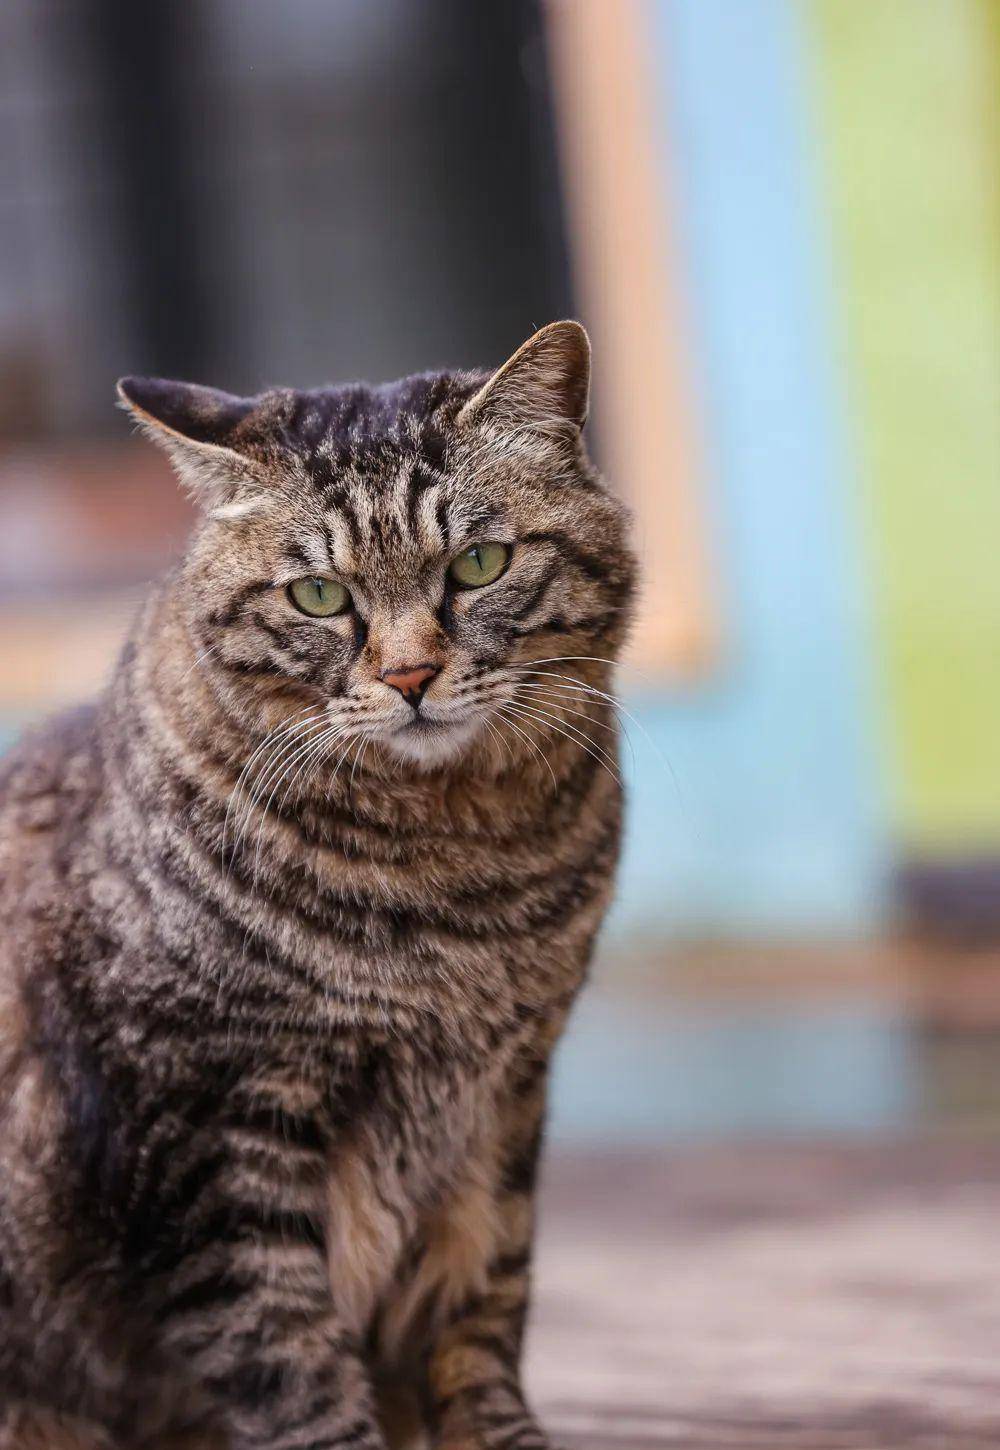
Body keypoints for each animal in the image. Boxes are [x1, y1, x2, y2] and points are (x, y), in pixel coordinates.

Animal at [0, 326, 631, 1450]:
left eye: (478, 564)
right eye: (320, 596)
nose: (412, 676)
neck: (455, 879)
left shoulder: (505, 1102)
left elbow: (484, 1306)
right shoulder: (205, 1132)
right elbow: (287, 1358)